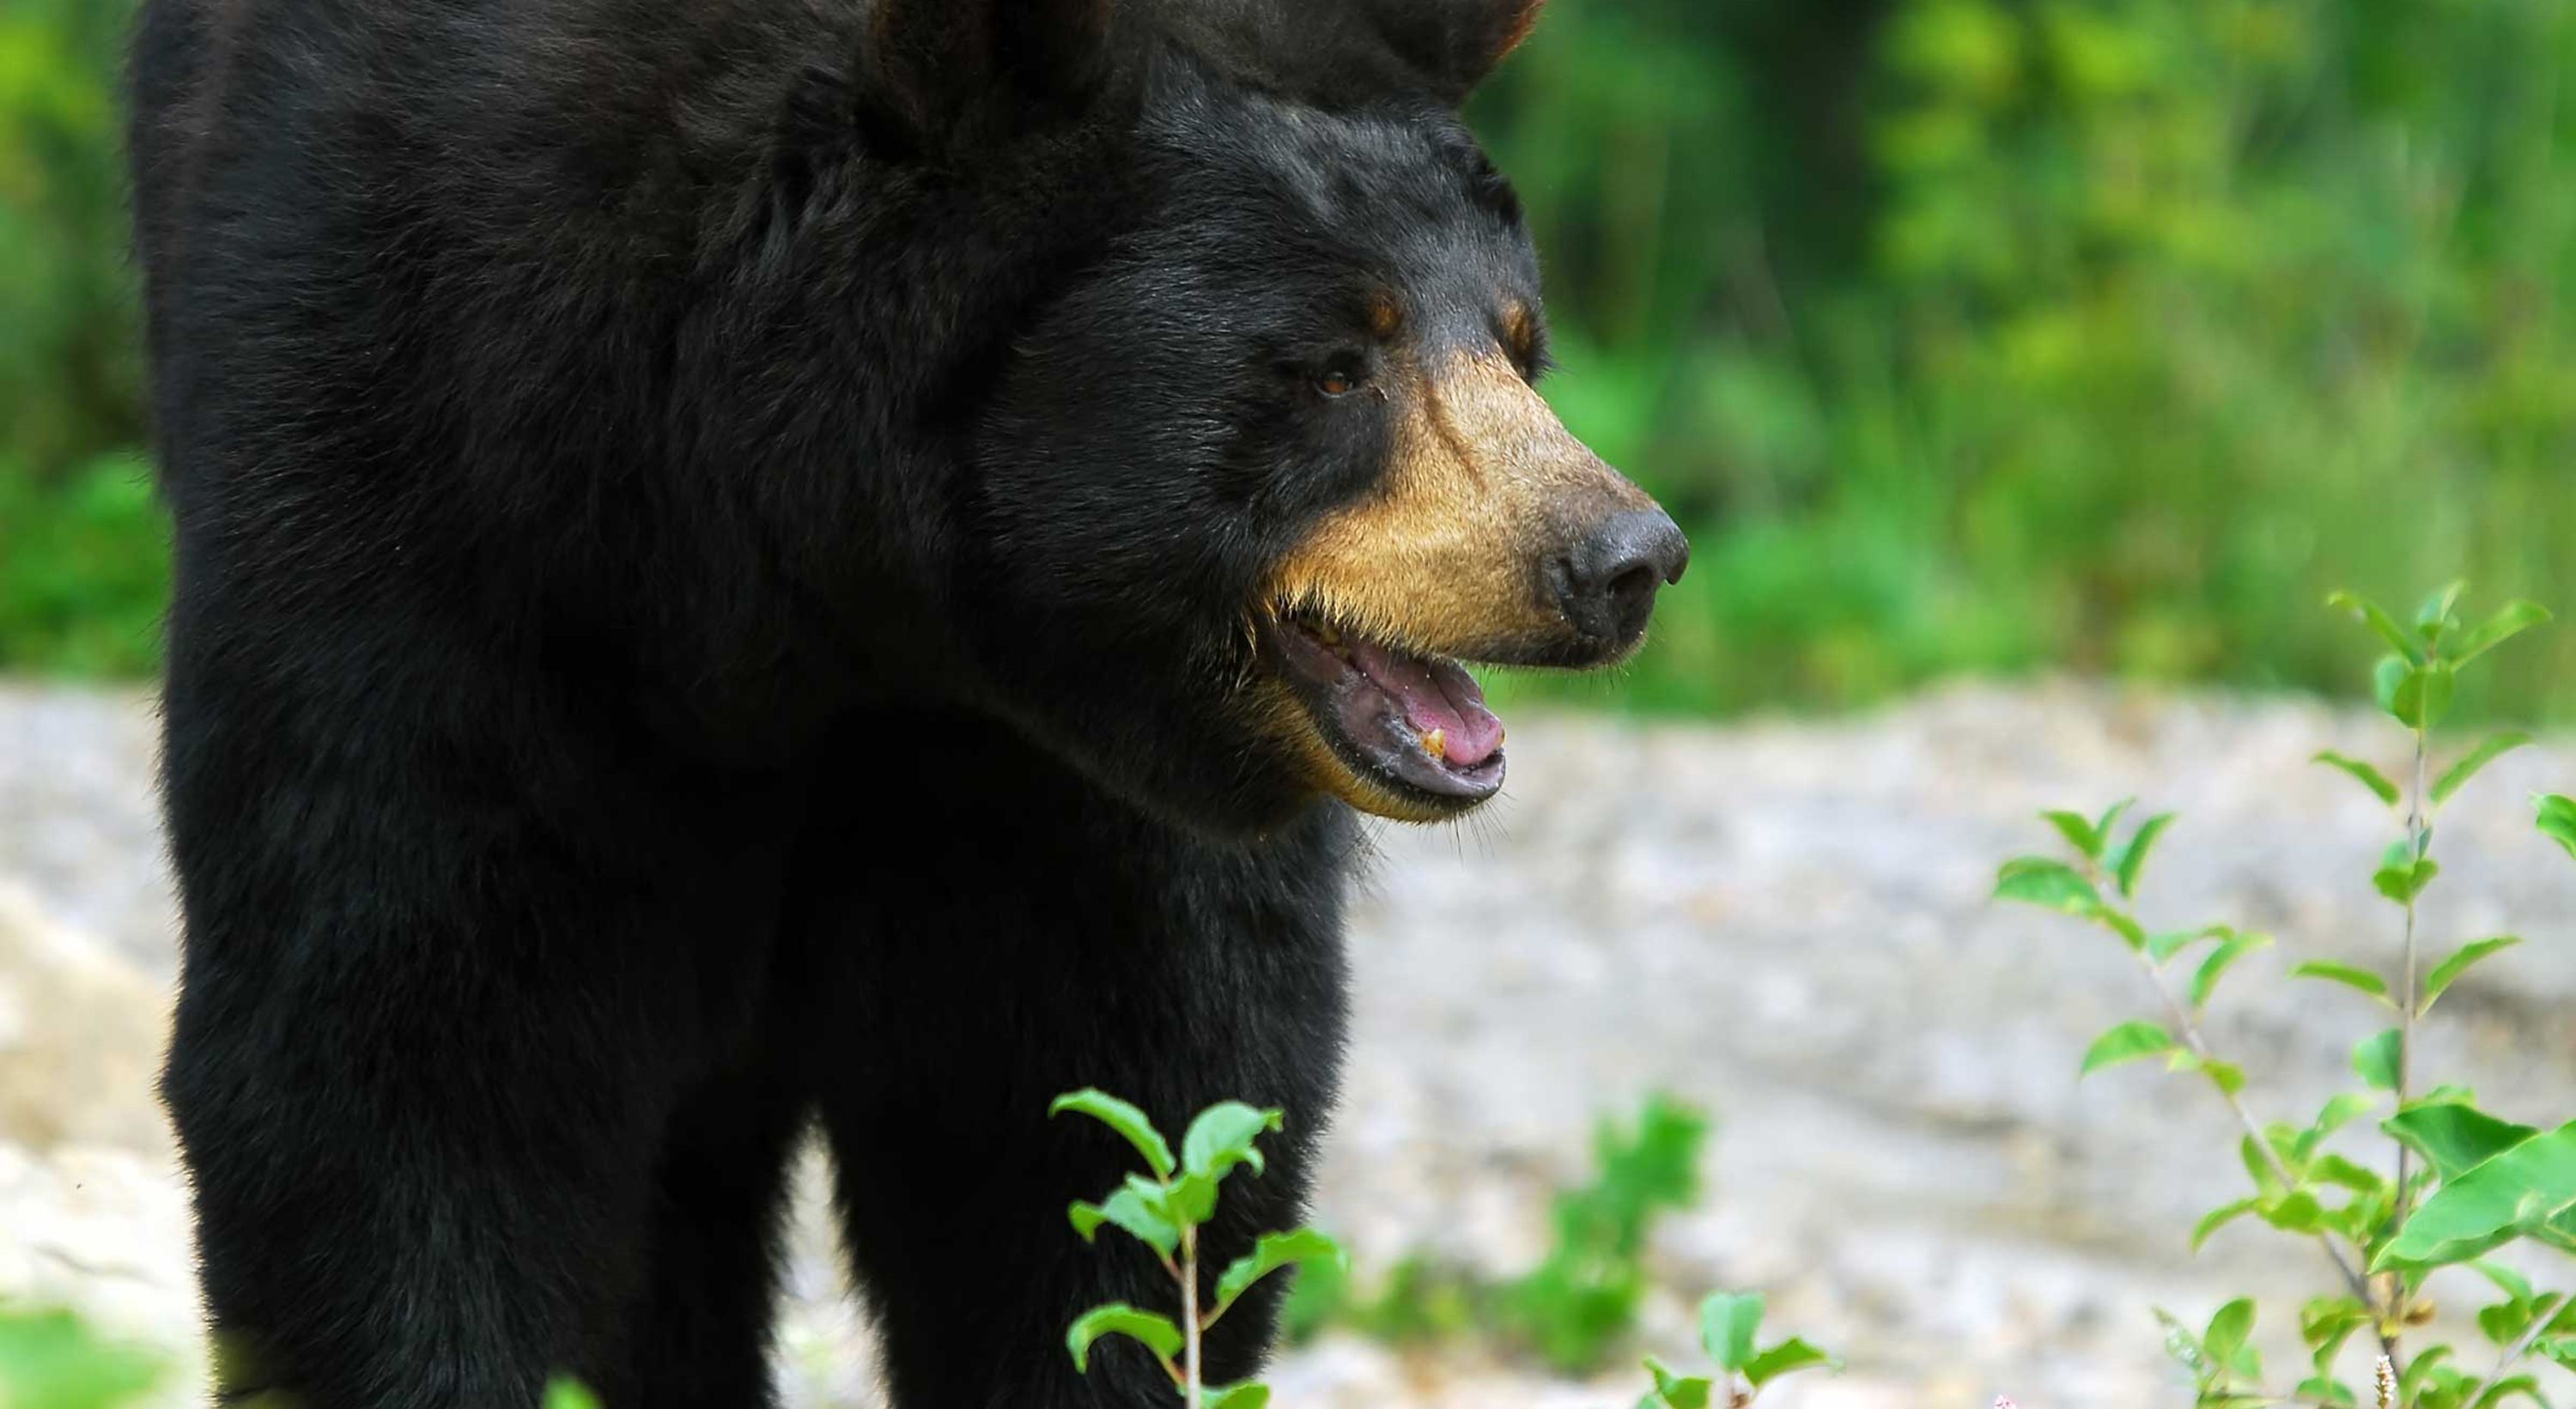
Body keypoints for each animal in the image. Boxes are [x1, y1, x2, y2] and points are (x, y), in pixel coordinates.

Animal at [125, 0, 1688, 1404]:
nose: (1623, 557)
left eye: (1517, 337)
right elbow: (404, 1048)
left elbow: (1107, 1106)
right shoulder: (430, 466)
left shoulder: (1043, 760)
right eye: (1334, 364)